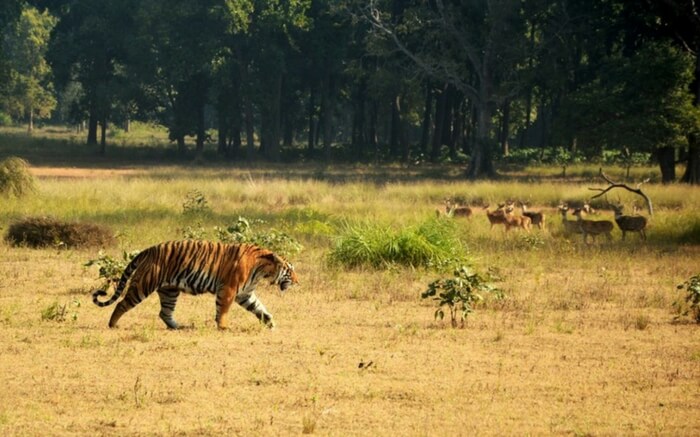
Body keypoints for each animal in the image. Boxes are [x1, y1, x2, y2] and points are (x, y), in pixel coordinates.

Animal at [92, 240, 298, 328]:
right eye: (290, 270)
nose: (298, 281)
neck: (262, 269)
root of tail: (148, 250)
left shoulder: (244, 293)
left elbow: (259, 307)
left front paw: (269, 322)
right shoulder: (229, 289)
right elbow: (223, 310)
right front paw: (223, 327)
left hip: (170, 291)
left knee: (164, 312)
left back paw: (179, 326)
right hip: (144, 285)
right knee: (122, 303)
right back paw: (112, 325)